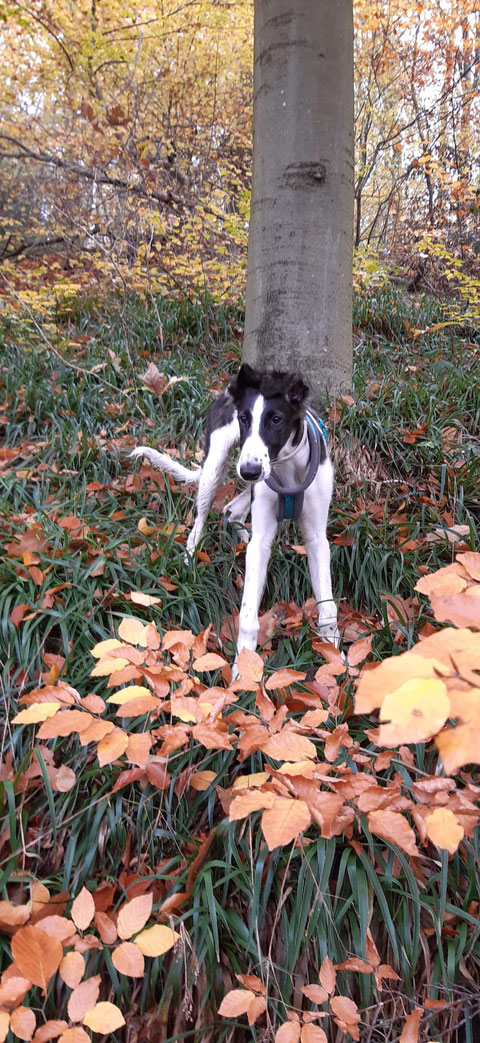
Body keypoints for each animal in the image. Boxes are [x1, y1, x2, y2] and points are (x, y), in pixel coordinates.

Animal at [131, 362, 340, 663]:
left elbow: (328, 608)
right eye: (243, 418)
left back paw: (240, 534)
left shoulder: (316, 538)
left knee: (231, 509)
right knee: (200, 519)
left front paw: (336, 657)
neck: (286, 470)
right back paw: (190, 560)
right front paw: (244, 665)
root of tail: (229, 388)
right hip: (216, 466)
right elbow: (248, 613)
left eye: (276, 419)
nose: (250, 470)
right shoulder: (262, 537)